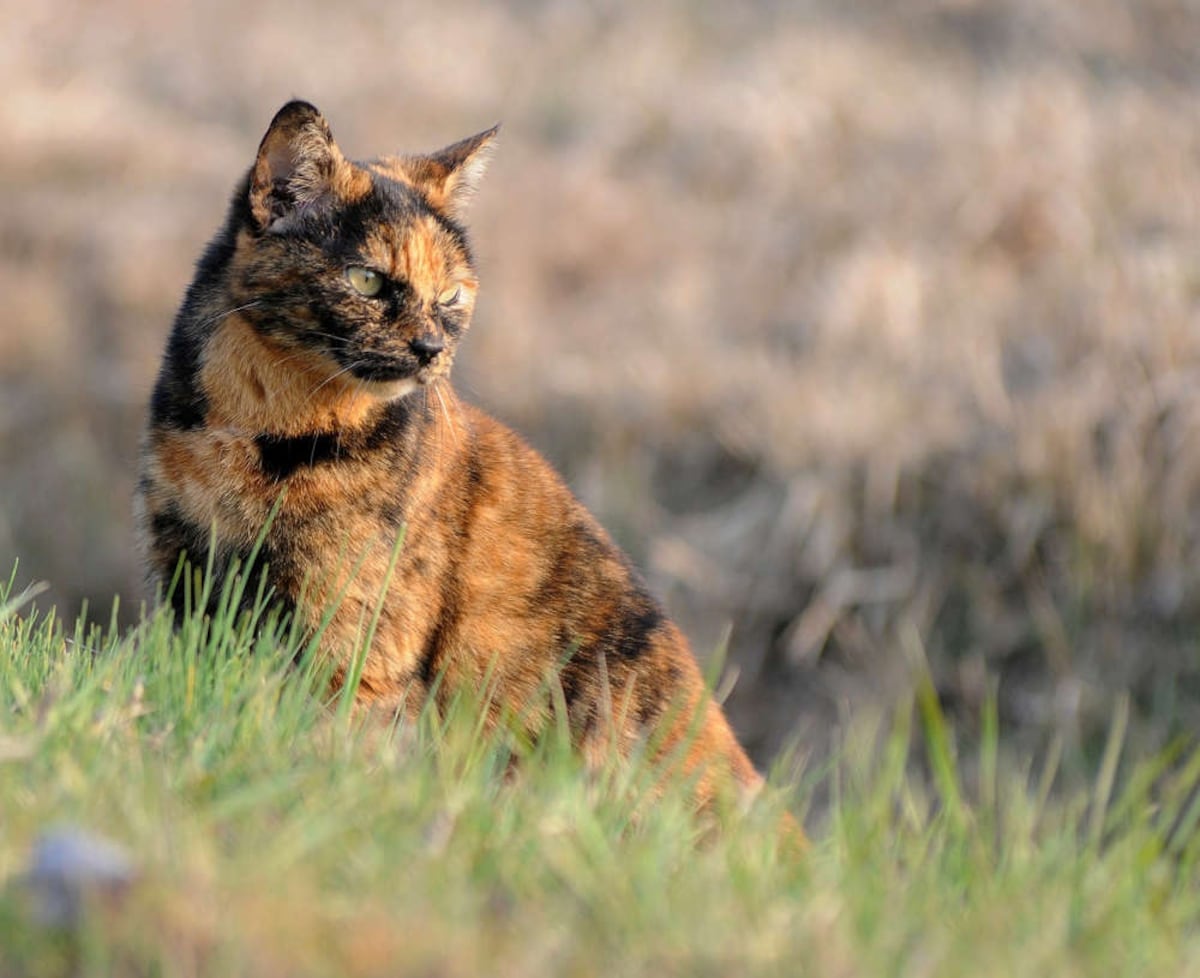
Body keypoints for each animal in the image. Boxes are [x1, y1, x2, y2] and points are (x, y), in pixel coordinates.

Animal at [136, 99, 792, 830]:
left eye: (451, 294)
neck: (259, 432)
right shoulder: (188, 576)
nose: (429, 348)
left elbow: (327, 738)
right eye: (367, 279)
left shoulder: (357, 633)